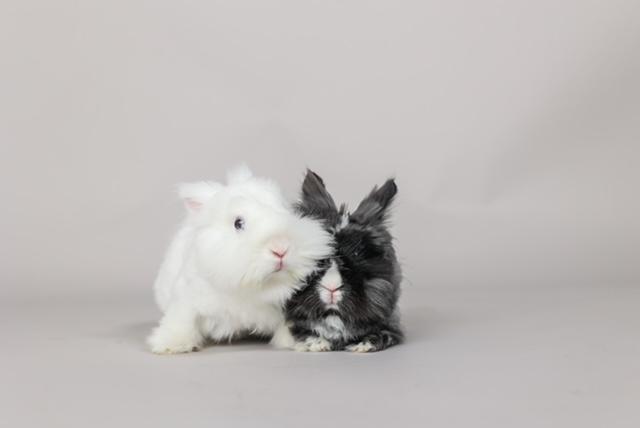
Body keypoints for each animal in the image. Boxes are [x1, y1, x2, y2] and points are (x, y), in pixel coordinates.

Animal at [147, 165, 332, 354]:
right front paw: (172, 346)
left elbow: (289, 327)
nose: (280, 249)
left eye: (289, 213)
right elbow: (182, 321)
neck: (250, 289)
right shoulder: (186, 300)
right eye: (238, 223)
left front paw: (312, 343)